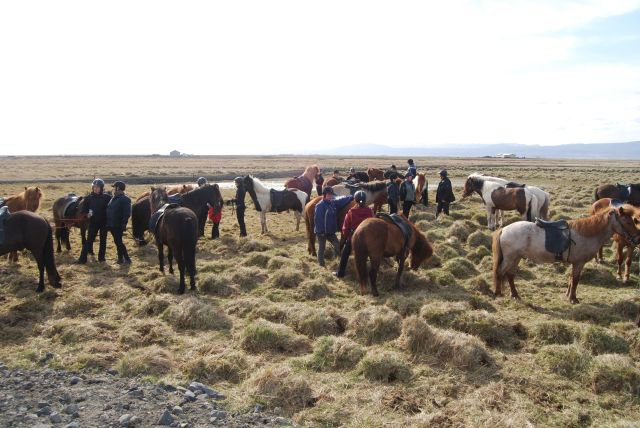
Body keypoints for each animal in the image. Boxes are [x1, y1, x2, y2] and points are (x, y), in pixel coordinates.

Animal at [496, 204, 640, 304]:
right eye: (628, 222)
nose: (637, 239)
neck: (587, 234)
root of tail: (504, 229)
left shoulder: (574, 263)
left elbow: (571, 279)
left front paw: (568, 295)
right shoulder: (579, 263)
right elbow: (575, 280)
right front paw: (573, 299)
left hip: (516, 258)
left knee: (510, 275)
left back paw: (515, 295)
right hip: (510, 258)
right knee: (500, 273)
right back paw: (498, 293)